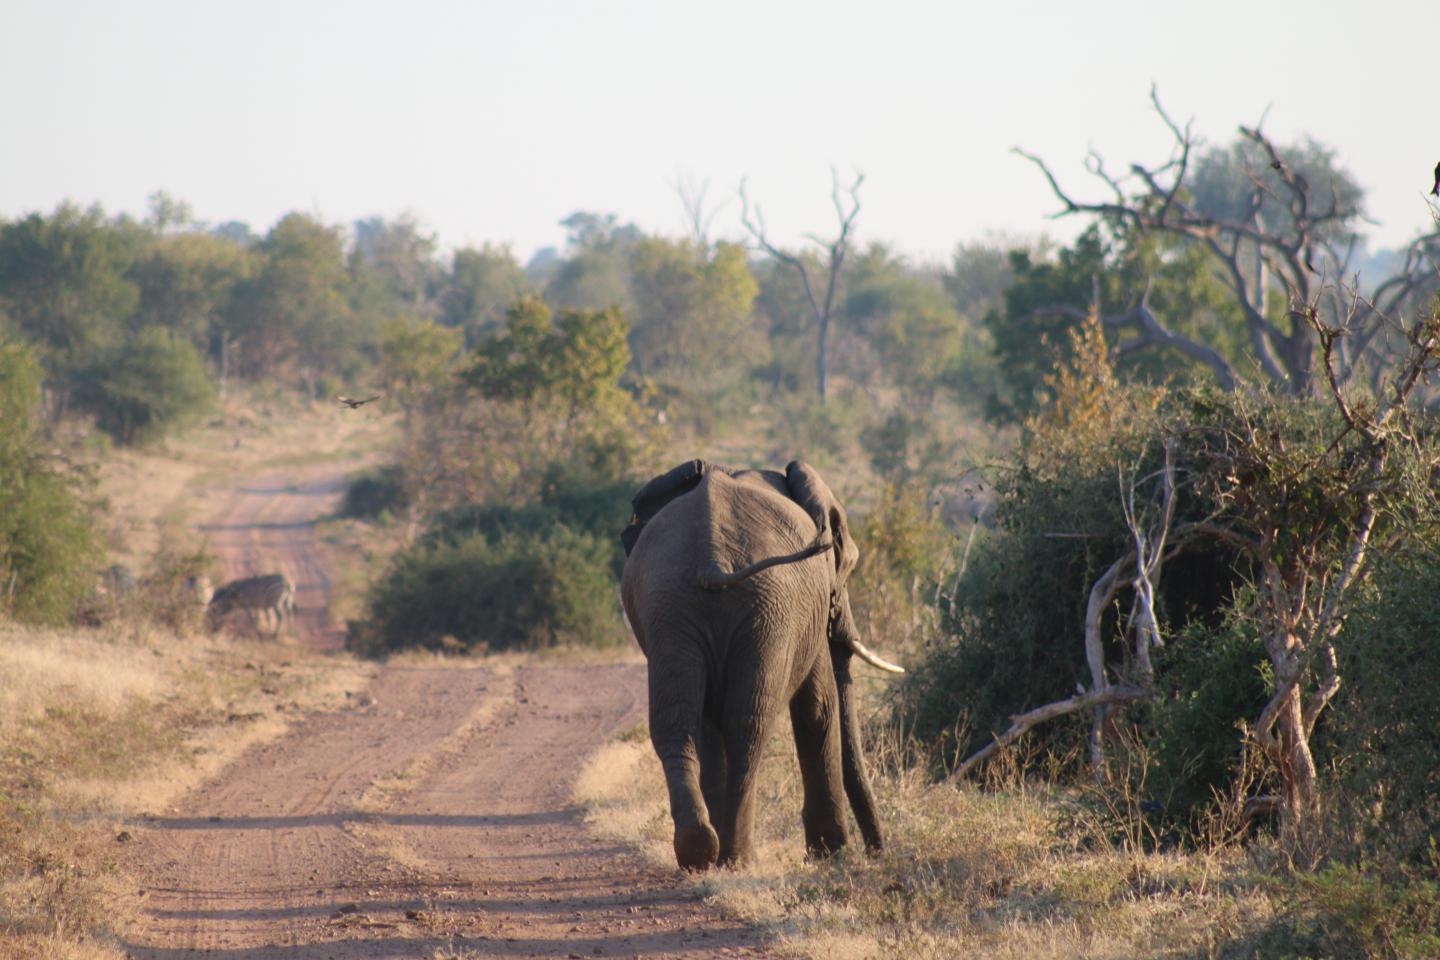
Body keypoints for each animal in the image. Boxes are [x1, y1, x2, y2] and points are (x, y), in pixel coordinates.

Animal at [619, 458, 903, 870]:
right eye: (848, 565)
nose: (877, 852)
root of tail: (711, 557)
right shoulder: (809, 612)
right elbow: (819, 706)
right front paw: (831, 854)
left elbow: (708, 723)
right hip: (768, 608)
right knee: (749, 727)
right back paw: (738, 858)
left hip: (671, 602)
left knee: (678, 722)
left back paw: (700, 850)